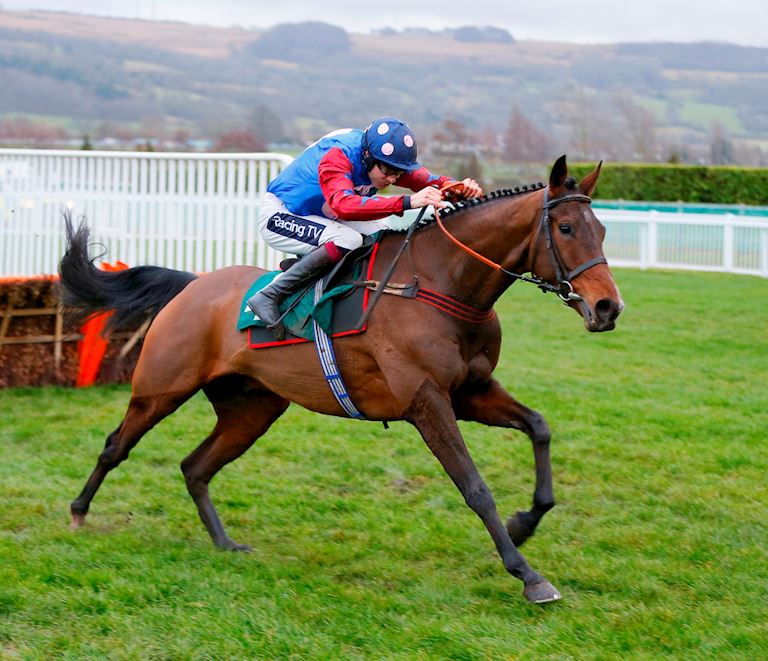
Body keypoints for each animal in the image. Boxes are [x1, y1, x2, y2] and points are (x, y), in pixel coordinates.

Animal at [59, 155, 623, 604]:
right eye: (566, 229)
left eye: (601, 231)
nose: (607, 307)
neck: (438, 283)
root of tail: (193, 284)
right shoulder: (426, 402)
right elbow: (475, 487)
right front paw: (528, 575)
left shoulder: (471, 392)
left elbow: (539, 426)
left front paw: (524, 524)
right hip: (161, 389)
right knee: (116, 446)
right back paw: (79, 512)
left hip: (252, 409)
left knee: (195, 467)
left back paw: (224, 542)